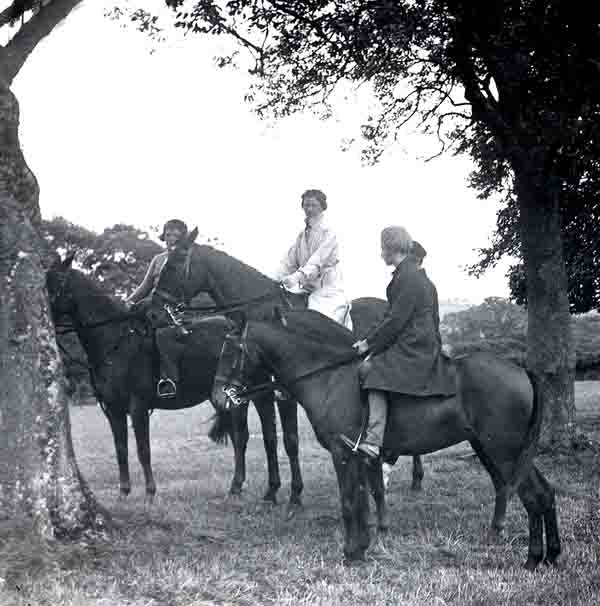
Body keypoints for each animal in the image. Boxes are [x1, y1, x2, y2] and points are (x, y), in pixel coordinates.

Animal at [44, 253, 300, 512]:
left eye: (53, 284)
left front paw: (149, 494)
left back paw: (238, 488)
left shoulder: (138, 407)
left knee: (241, 438)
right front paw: (123, 494)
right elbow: (121, 450)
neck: (116, 342)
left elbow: (143, 450)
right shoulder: (113, 410)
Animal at [152, 235, 426, 506]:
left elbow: (290, 440)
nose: (153, 311)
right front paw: (270, 490)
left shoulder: (286, 396)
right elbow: (268, 439)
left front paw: (295, 493)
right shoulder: (260, 395)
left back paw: (415, 477)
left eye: (174, 265)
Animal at [212, 308, 564, 568]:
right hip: (506, 452)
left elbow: (349, 502)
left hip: (504, 452)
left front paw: (351, 552)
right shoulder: (357, 457)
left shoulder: (342, 454)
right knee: (543, 493)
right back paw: (549, 556)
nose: (218, 398)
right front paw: (362, 547)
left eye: (232, 351)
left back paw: (533, 558)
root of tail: (521, 369)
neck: (329, 377)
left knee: (532, 495)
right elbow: (363, 499)